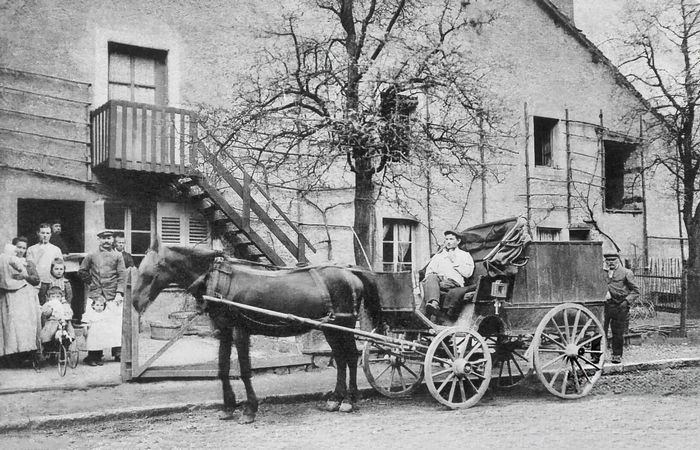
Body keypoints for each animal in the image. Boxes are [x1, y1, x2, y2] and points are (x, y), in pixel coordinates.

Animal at [131, 237, 382, 424]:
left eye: (154, 269)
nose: (135, 302)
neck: (219, 282)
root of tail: (351, 273)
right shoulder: (223, 332)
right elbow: (223, 369)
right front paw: (228, 408)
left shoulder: (240, 331)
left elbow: (244, 370)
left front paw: (249, 410)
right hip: (331, 328)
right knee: (340, 358)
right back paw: (336, 399)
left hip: (345, 325)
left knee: (351, 357)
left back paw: (349, 400)